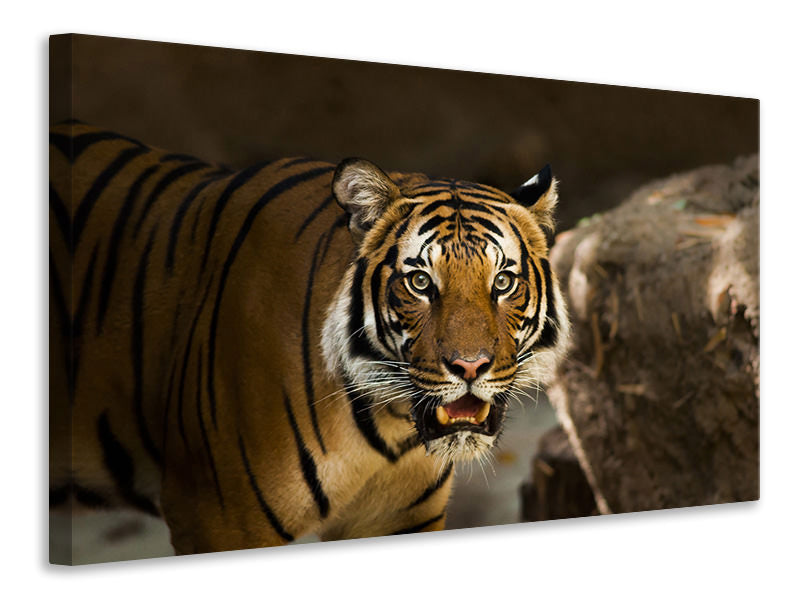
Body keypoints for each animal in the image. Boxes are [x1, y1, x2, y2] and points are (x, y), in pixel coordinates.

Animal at [49, 121, 570, 559]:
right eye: (421, 282)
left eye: (503, 282)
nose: (470, 367)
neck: (388, 428)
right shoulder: (217, 520)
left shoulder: (398, 520)